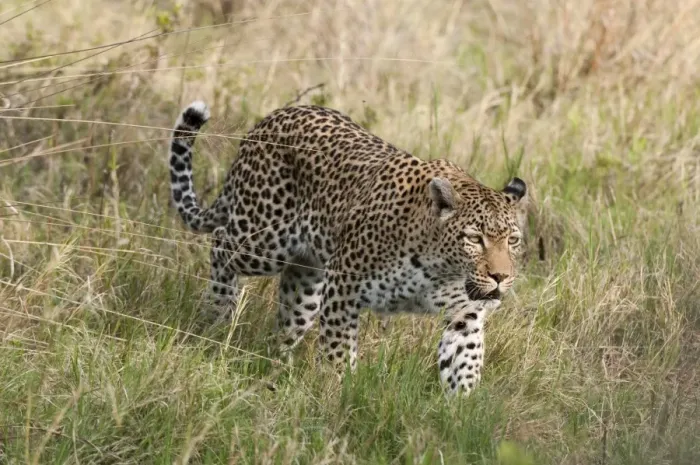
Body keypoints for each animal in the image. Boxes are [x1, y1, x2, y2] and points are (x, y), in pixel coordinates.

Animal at [168, 100, 528, 396]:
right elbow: (338, 351)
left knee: (284, 327)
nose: (500, 277)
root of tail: (270, 119)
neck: (441, 268)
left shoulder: (466, 313)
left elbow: (465, 362)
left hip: (306, 283)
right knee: (220, 244)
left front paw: (459, 412)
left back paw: (276, 366)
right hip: (261, 240)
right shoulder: (344, 286)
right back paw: (218, 314)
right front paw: (337, 393)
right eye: (475, 239)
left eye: (513, 240)